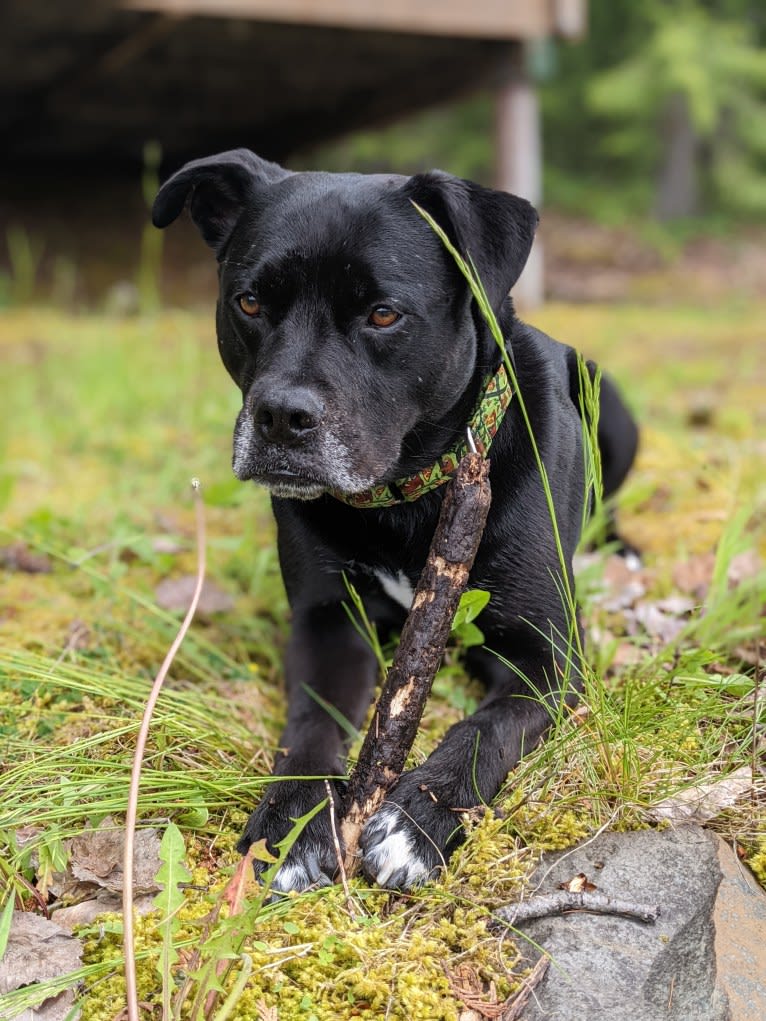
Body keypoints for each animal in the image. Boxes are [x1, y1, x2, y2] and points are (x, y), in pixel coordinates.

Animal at [153, 148, 637, 890]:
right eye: (250, 302)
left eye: (383, 314)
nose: (280, 417)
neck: (409, 495)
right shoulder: (327, 622)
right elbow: (312, 723)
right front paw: (293, 821)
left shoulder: (547, 655)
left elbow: (485, 727)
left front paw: (417, 818)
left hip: (611, 405)